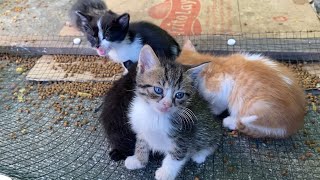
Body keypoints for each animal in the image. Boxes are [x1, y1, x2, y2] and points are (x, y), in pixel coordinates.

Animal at [124, 45, 221, 180]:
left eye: (179, 95)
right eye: (158, 90)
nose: (167, 104)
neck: (156, 116)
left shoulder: (185, 135)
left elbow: (176, 155)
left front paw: (166, 172)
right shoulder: (142, 128)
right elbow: (141, 143)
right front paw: (138, 160)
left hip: (208, 129)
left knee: (212, 142)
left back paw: (200, 154)